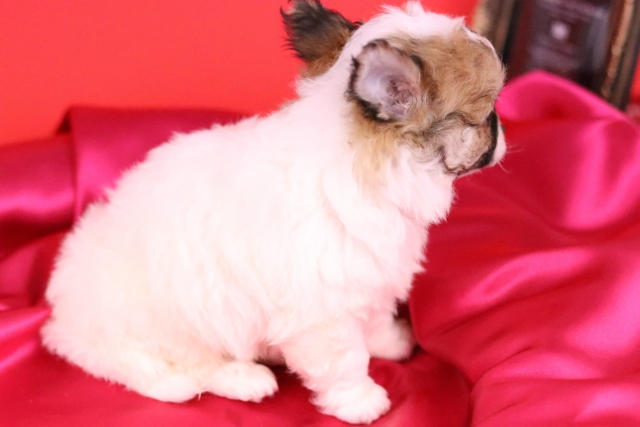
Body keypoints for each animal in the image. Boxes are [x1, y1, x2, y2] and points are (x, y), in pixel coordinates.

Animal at [41, 1, 505, 424]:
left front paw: (389, 341)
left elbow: (373, 319)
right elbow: (345, 361)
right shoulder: (322, 319)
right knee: (186, 371)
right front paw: (360, 401)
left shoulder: (369, 280)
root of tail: (67, 322)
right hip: (175, 327)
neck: (362, 165)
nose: (502, 133)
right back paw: (245, 378)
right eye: (485, 116)